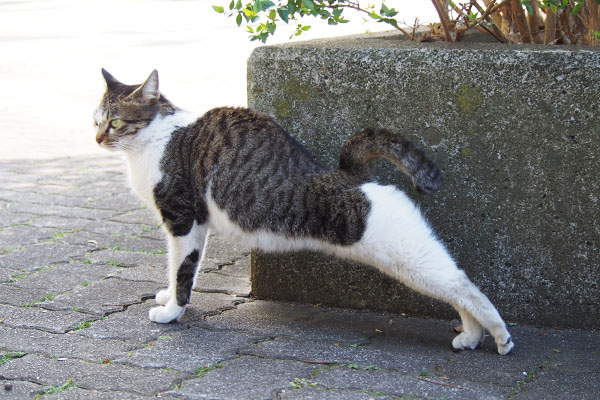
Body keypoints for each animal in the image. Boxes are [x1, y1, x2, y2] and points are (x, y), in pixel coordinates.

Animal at [94, 69, 516, 356]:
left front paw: (172, 313)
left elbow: (182, 270)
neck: (155, 139)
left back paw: (500, 337)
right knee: (457, 287)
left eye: (115, 122)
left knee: (463, 285)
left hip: (408, 257)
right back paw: (471, 336)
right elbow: (180, 271)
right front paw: (168, 298)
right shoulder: (195, 227)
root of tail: (352, 175)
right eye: (96, 120)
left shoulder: (182, 221)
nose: (96, 139)